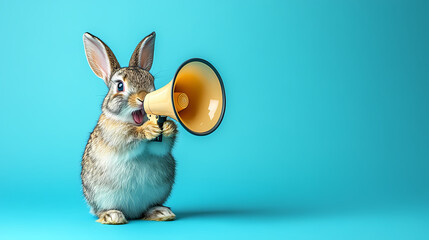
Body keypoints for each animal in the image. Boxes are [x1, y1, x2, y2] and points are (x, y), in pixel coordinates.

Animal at [80, 31, 177, 224]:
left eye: (152, 81)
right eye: (120, 86)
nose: (143, 97)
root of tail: (133, 213)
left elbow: (161, 147)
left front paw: (169, 127)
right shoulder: (115, 135)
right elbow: (129, 138)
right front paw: (147, 130)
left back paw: (161, 212)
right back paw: (112, 216)